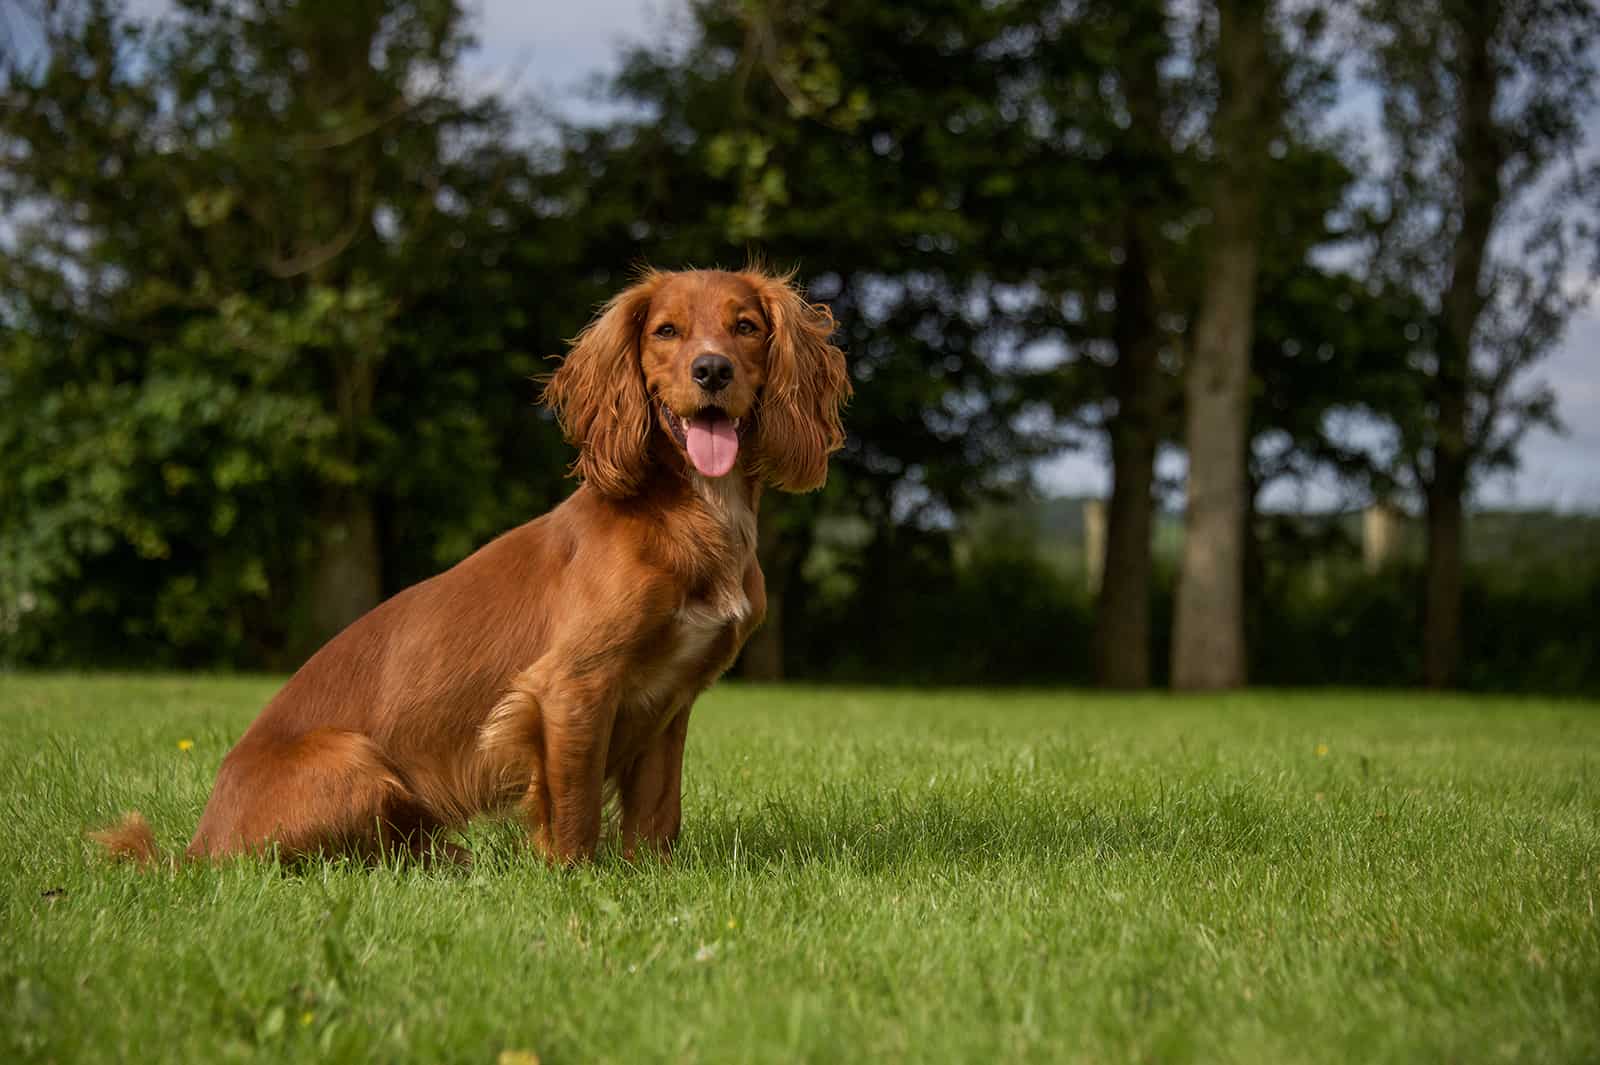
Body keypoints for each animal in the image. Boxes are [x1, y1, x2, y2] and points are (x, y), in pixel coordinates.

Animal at [90, 265, 851, 863]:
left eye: (745, 326)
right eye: (666, 331)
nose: (712, 370)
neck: (691, 510)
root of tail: (197, 847)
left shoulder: (672, 701)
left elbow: (659, 814)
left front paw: (653, 880)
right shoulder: (570, 686)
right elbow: (574, 809)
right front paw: (578, 882)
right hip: (357, 761)